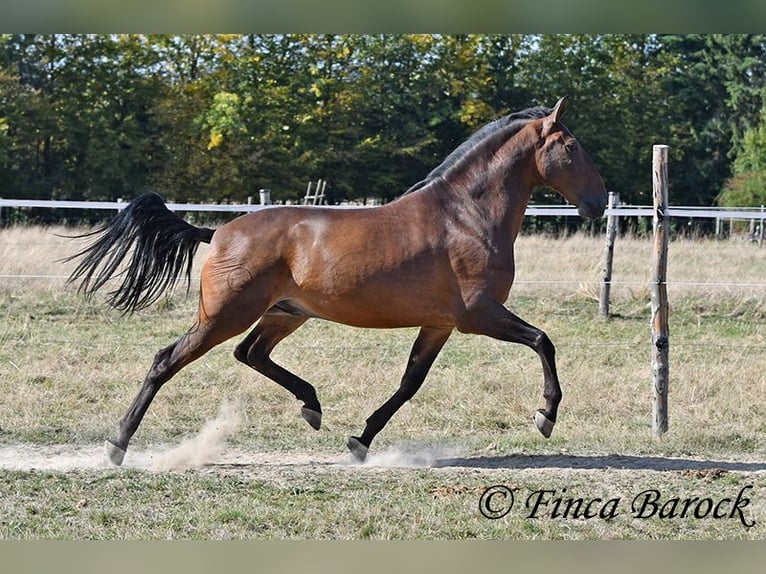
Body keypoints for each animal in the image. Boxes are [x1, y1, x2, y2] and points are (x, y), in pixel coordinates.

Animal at [65, 96, 607, 466]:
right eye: (572, 146)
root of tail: (217, 232)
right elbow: (543, 341)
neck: (465, 215)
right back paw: (117, 445)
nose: (599, 202)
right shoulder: (479, 315)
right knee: (167, 360)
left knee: (250, 353)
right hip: (225, 314)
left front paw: (360, 442)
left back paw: (312, 406)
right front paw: (546, 417)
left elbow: (410, 382)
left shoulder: (440, 324)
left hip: (284, 314)